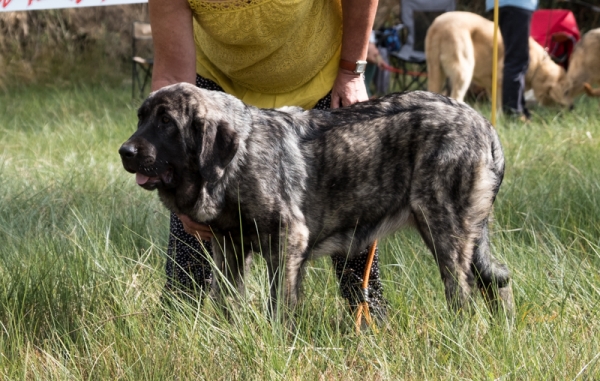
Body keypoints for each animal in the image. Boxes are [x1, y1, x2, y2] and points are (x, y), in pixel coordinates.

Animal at [119, 83, 512, 318]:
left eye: (167, 122)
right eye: (140, 118)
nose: (125, 151)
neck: (239, 157)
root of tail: (483, 124)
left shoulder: (287, 241)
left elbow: (279, 306)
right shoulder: (229, 246)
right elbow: (227, 300)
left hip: (444, 229)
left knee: (463, 295)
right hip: (464, 235)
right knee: (496, 283)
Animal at [426, 11, 568, 108]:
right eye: (567, 92)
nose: (570, 108)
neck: (538, 64)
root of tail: (438, 26)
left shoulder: (491, 86)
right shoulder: (502, 81)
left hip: (436, 73)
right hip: (463, 72)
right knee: (456, 96)